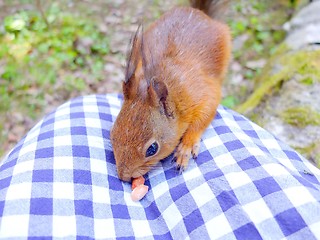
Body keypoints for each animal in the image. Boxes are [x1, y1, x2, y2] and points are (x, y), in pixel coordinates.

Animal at [111, 0, 231, 180]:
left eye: (152, 149)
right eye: (112, 133)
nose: (124, 176)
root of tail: (199, 12)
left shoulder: (203, 94)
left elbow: (204, 116)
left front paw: (186, 148)